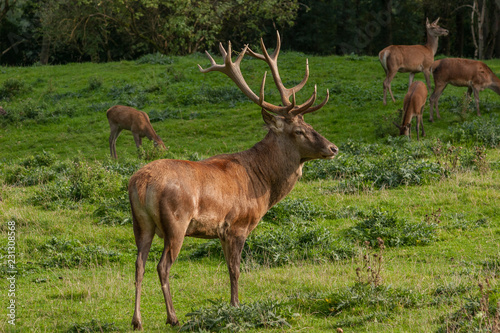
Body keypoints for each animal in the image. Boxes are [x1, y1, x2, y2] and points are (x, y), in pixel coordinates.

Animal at [129, 31, 340, 330]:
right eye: (299, 131)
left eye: (311, 125)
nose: (333, 148)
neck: (263, 182)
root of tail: (141, 183)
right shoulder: (238, 225)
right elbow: (235, 269)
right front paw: (236, 307)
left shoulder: (219, 232)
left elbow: (229, 268)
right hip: (176, 222)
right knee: (163, 265)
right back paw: (172, 317)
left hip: (140, 223)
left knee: (138, 264)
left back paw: (137, 320)